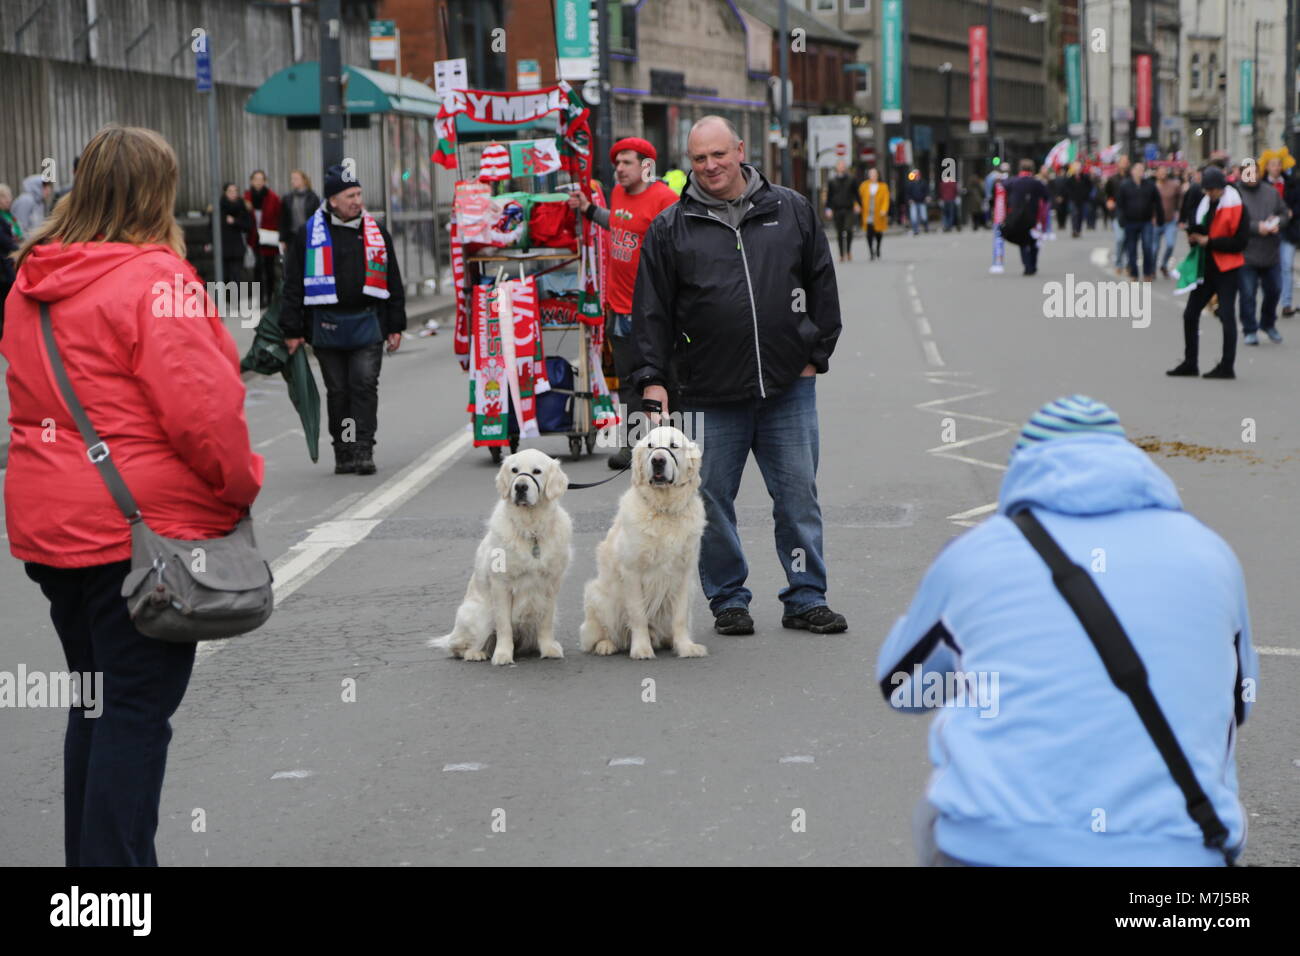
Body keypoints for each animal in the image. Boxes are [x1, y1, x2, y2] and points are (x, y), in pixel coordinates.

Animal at [428, 447, 572, 665]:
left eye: (537, 471)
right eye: (514, 470)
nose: (520, 487)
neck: (530, 528)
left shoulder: (551, 584)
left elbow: (545, 622)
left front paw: (548, 648)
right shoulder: (501, 585)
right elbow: (504, 626)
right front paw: (503, 654)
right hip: (478, 614)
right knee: (459, 647)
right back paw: (476, 653)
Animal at [579, 424, 707, 658]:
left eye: (674, 445)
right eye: (650, 446)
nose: (658, 460)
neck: (664, 509)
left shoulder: (684, 573)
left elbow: (680, 616)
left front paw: (685, 646)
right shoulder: (632, 572)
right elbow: (638, 615)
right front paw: (641, 648)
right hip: (599, 595)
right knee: (601, 633)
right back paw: (606, 645)